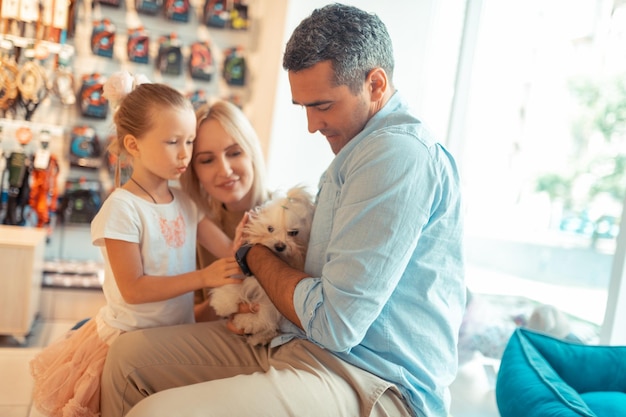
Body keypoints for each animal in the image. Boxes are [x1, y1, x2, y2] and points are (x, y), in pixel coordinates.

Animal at [210, 185, 314, 344]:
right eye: (270, 229)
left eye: (293, 233)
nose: (279, 246)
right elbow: (236, 284)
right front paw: (224, 303)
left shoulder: (273, 298)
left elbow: (267, 311)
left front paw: (248, 321)